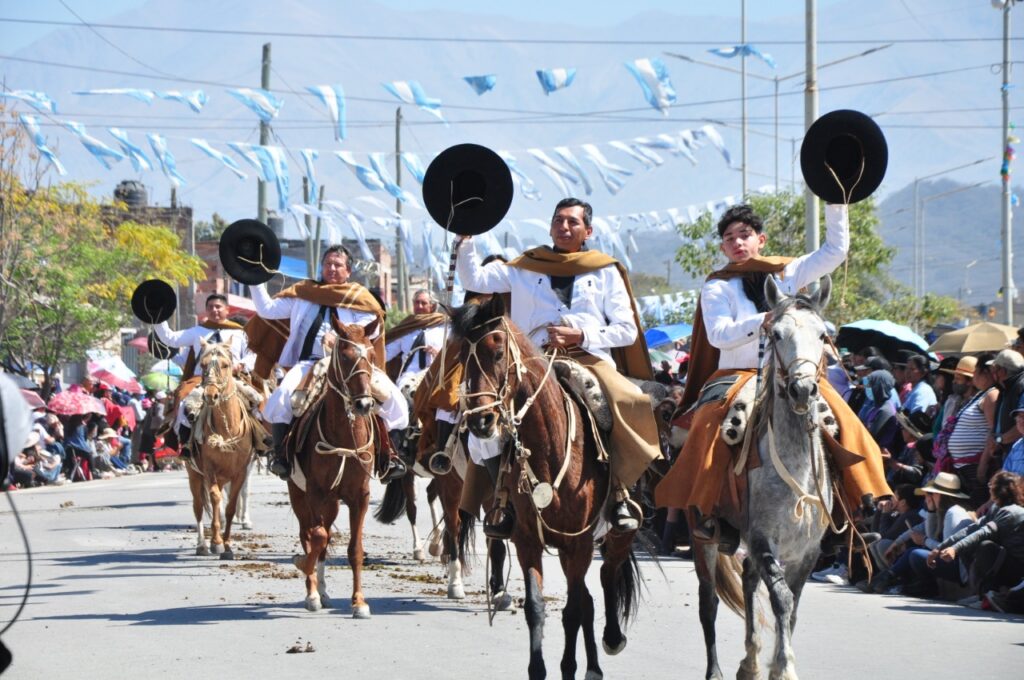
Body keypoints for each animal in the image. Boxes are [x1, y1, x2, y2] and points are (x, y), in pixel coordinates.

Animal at [187, 340, 260, 557]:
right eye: (202, 365)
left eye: (226, 365)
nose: (211, 395)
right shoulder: (209, 469)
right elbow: (215, 499)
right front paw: (216, 542)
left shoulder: (241, 471)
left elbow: (231, 505)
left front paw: (227, 545)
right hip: (194, 475)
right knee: (199, 506)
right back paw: (202, 545)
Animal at [288, 315, 380, 618]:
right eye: (344, 355)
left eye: (371, 356)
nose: (363, 404)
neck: (344, 437)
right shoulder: (315, 493)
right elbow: (316, 537)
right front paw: (303, 567)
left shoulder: (359, 496)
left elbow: (354, 548)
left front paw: (359, 601)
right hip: (300, 496)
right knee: (310, 534)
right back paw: (313, 592)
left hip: (332, 504)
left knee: (324, 538)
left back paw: (324, 591)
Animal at [450, 292, 634, 680]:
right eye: (461, 358)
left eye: (498, 351)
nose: (481, 421)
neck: (551, 447)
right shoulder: (527, 540)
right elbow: (537, 606)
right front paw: (541, 668)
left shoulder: (579, 544)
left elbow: (573, 610)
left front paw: (568, 666)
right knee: (589, 599)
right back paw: (593, 667)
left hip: (613, 533)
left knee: (608, 571)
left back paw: (611, 639)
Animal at [692, 274, 835, 680]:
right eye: (776, 334)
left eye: (823, 335)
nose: (802, 389)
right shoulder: (761, 539)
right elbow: (781, 599)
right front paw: (783, 668)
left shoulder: (808, 552)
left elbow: (793, 606)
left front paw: (771, 664)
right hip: (703, 536)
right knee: (708, 602)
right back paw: (717, 670)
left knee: (747, 578)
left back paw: (750, 662)